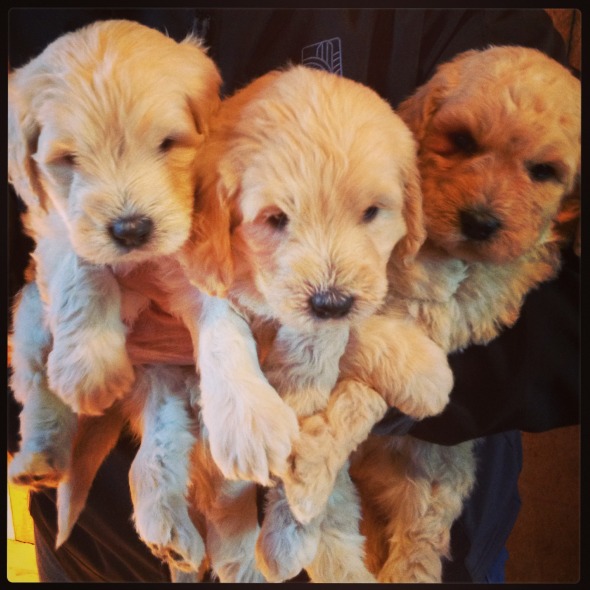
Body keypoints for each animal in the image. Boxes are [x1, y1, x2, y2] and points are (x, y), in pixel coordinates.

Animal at [197, 63, 456, 584]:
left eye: (372, 212)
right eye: (275, 218)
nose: (330, 301)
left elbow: (350, 329)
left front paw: (418, 367)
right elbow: (222, 324)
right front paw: (247, 421)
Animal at [286, 45, 584, 584]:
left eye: (544, 171)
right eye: (462, 141)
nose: (480, 222)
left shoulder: (458, 315)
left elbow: (368, 381)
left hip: (435, 477)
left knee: (416, 544)